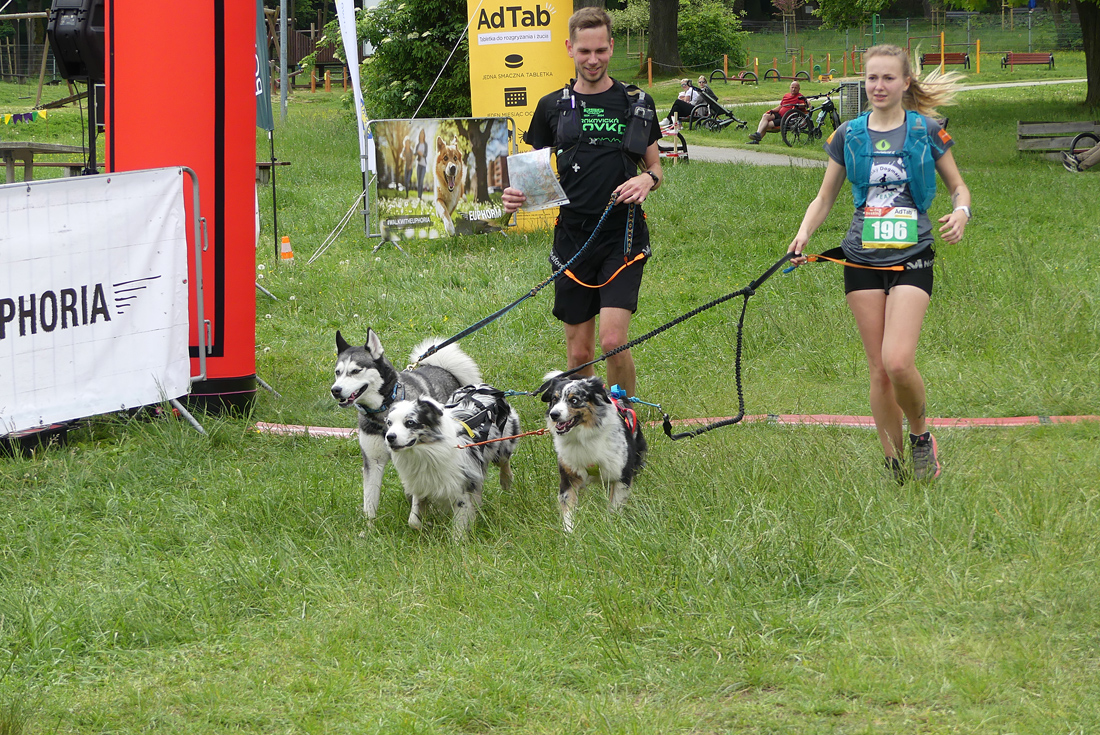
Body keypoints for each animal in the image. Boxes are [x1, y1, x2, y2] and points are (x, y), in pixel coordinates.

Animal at [331, 329, 482, 523]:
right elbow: (369, 502)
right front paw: (368, 527)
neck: (383, 413)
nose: (335, 390)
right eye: (338, 372)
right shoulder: (373, 460)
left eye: (355, 371)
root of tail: (441, 368)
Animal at [384, 384, 520, 540]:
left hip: (502, 445)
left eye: (410, 423)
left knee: (504, 462)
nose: (390, 437)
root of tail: (483, 387)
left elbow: (459, 526)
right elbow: (413, 520)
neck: (427, 451)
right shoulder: (421, 483)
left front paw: (458, 542)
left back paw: (506, 481)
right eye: (389, 423)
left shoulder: (462, 486)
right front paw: (425, 527)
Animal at [539, 373, 648, 533]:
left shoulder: (622, 474)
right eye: (554, 399)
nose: (554, 414)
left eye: (574, 400)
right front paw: (569, 533)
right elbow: (568, 509)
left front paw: (611, 526)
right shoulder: (569, 476)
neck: (583, 437)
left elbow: (614, 506)